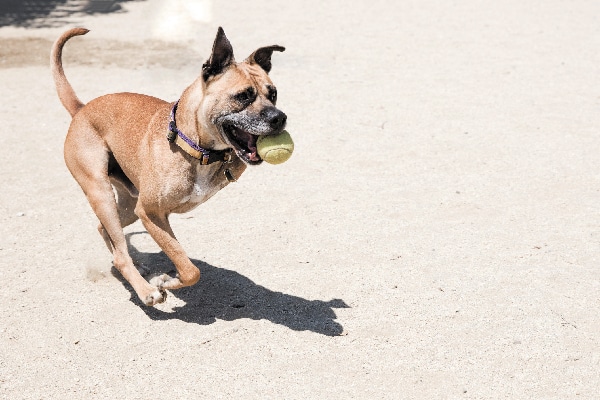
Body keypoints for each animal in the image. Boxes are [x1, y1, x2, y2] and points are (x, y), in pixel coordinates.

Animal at [51, 25, 286, 306]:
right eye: (243, 96)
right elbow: (187, 266)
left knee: (106, 233)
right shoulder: (150, 213)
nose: (280, 118)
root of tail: (81, 109)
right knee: (119, 255)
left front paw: (167, 279)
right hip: (102, 193)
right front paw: (166, 281)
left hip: (128, 206)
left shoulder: (146, 211)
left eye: (273, 94)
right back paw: (145, 290)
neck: (194, 146)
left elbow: (188, 268)